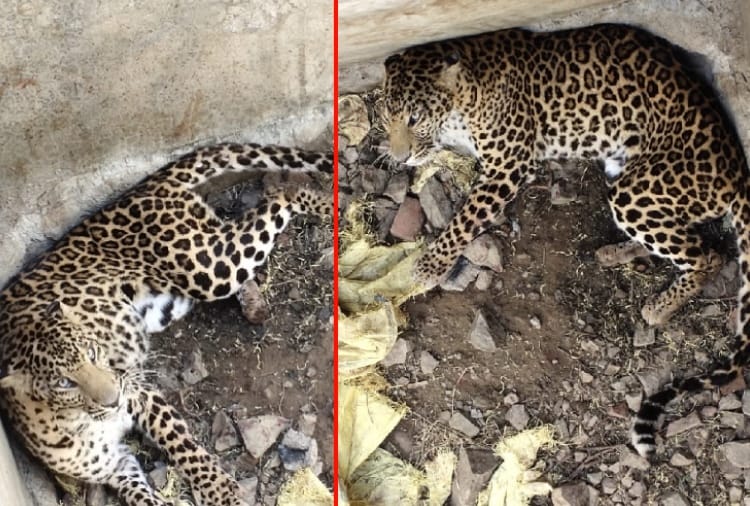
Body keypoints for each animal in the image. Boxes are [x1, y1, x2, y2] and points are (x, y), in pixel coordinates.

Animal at [0, 142, 332, 505]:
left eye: (93, 352)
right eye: (64, 383)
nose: (113, 399)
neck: (82, 421)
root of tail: (140, 191)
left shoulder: (140, 394)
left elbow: (182, 446)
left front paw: (219, 490)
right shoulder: (115, 464)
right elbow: (140, 496)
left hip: (207, 267)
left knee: (278, 198)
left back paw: (324, 201)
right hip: (176, 294)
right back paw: (255, 305)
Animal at [380, 23, 750, 457]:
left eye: (415, 117)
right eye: (385, 115)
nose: (399, 157)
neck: (466, 91)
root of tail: (738, 171)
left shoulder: (508, 166)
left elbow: (465, 218)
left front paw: (430, 265)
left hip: (638, 189)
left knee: (707, 255)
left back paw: (658, 308)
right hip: (622, 175)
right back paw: (612, 253)